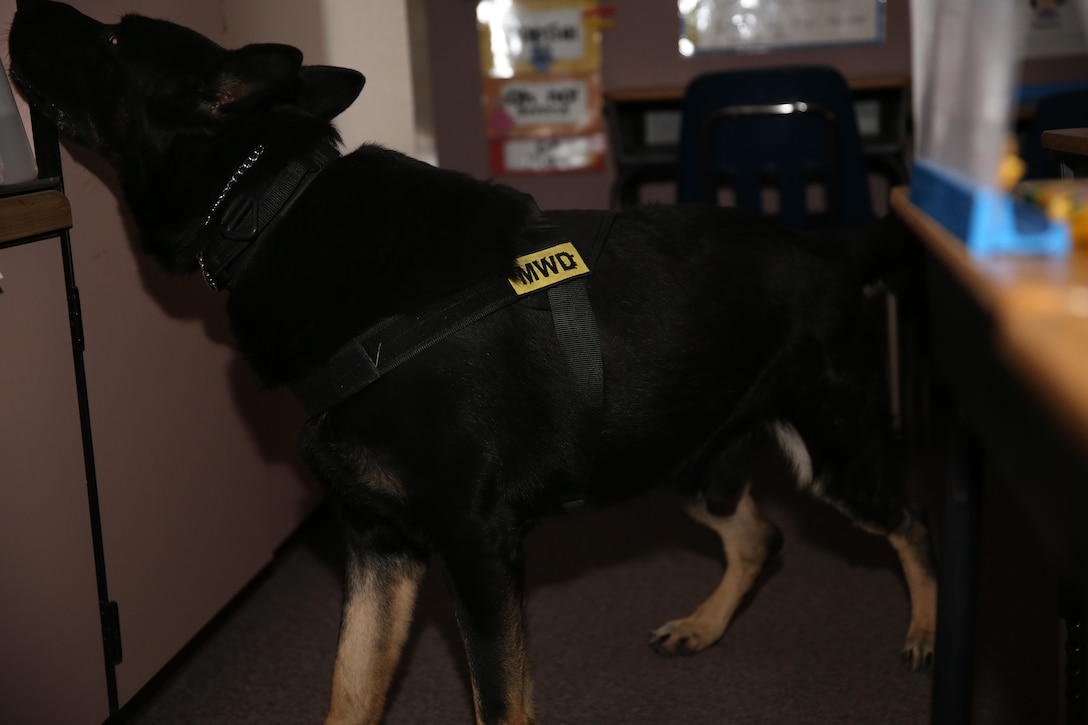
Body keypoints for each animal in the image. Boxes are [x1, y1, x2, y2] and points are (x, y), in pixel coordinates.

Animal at [6, 2, 935, 718]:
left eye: (115, 36)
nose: (24, 8)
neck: (272, 206)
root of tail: (832, 243)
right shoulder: (379, 545)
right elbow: (350, 687)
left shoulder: (475, 546)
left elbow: (497, 700)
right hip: (688, 454)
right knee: (761, 536)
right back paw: (704, 625)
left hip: (835, 449)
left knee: (912, 522)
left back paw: (929, 631)